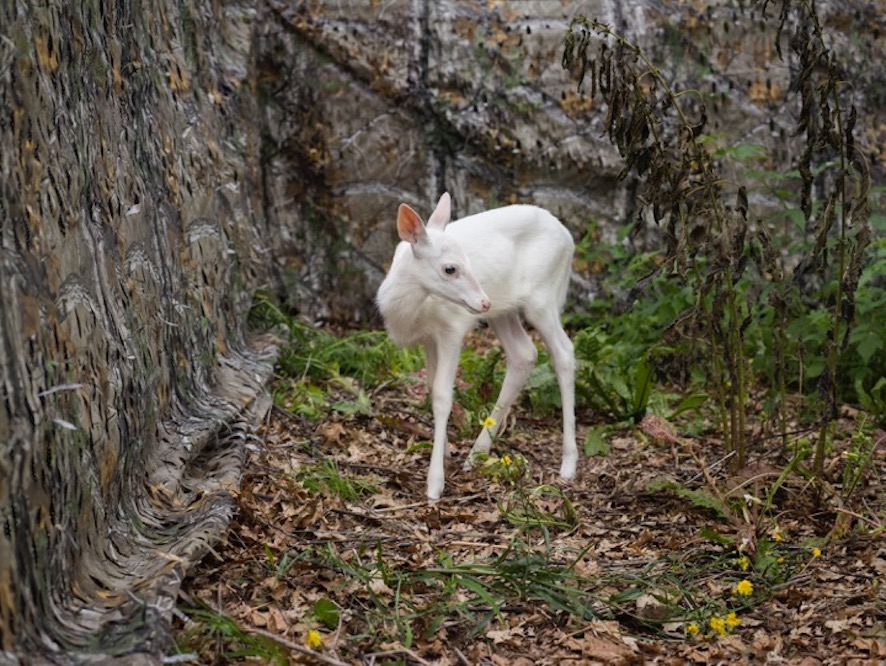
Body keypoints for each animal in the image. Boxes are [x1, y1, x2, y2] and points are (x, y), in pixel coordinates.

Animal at [376, 192, 578, 501]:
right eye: (450, 268)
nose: (483, 302)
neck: (410, 312)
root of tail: (569, 238)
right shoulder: (429, 337)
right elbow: (431, 386)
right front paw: (446, 451)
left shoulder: (452, 328)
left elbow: (442, 395)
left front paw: (435, 483)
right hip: (504, 310)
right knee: (524, 354)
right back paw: (477, 453)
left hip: (542, 296)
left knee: (563, 352)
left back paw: (568, 463)